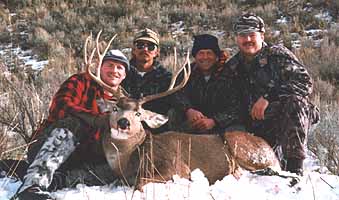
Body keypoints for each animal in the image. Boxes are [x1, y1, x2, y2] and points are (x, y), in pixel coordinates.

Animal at [83, 31, 282, 191]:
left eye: (139, 114)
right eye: (115, 108)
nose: (123, 122)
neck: (130, 161)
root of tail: (271, 151)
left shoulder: (177, 168)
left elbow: (140, 183)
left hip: (242, 147)